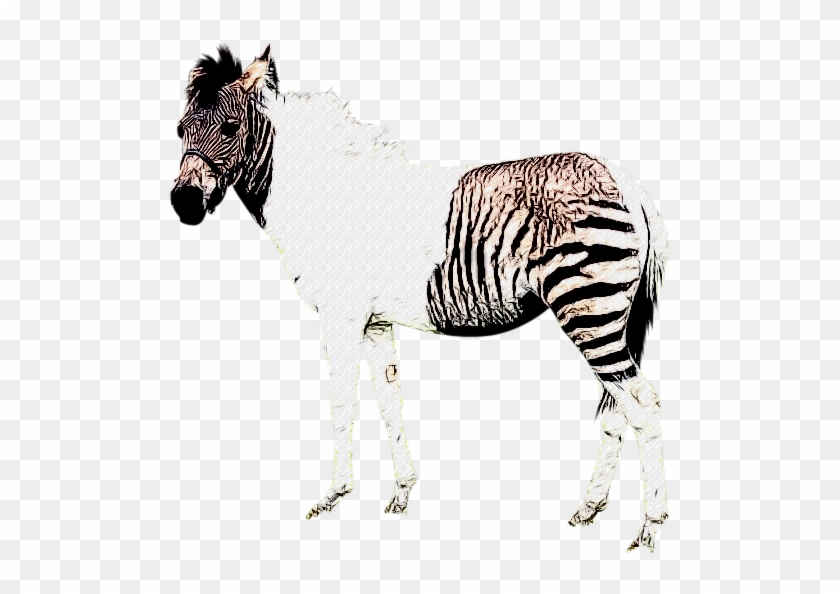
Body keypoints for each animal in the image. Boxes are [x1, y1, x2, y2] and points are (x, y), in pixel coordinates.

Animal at [171, 45, 670, 552]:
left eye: (231, 128)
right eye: (179, 129)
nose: (184, 205)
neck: (326, 200)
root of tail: (625, 181)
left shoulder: (340, 315)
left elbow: (342, 404)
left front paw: (333, 496)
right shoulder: (374, 321)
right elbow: (389, 401)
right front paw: (401, 494)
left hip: (588, 304)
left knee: (643, 404)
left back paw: (650, 526)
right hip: (607, 314)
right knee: (617, 409)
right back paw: (590, 508)